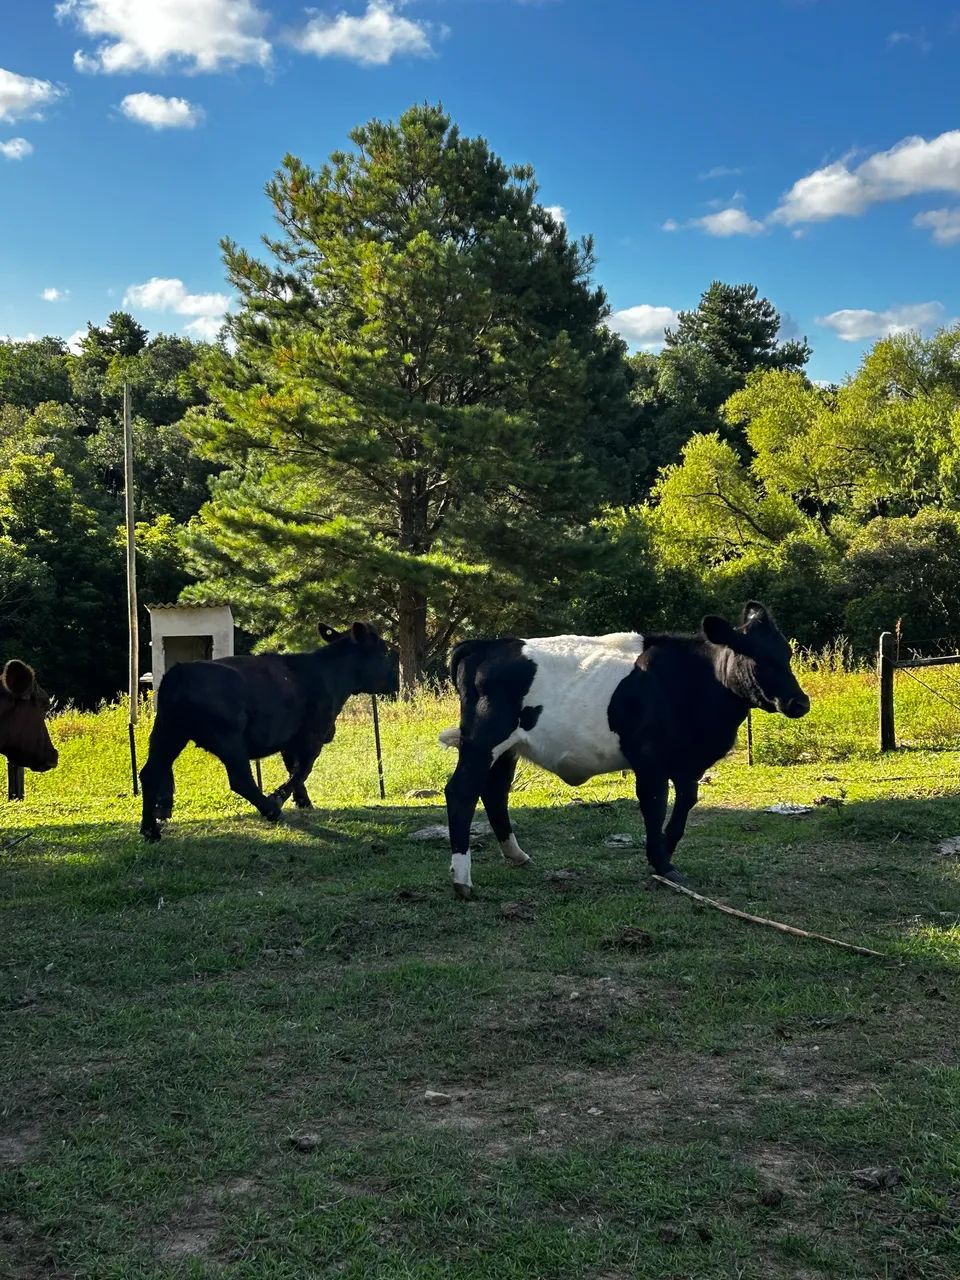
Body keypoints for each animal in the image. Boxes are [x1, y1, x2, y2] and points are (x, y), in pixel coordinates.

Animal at [139, 622, 399, 842]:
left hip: (169, 733)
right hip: (228, 739)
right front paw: (279, 797)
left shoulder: (290, 741)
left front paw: (303, 802)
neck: (331, 674)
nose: (396, 682)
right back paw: (270, 809)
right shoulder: (312, 735)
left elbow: (295, 771)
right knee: (241, 779)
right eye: (384, 653)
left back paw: (150, 830)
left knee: (149, 773)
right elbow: (303, 770)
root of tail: (178, 673)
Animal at [440, 603, 810, 898]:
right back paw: (463, 881)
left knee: (495, 792)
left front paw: (664, 851)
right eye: (757, 659)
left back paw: (517, 857)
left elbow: (684, 804)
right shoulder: (650, 760)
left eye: (787, 654)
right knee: (462, 791)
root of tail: (484, 645)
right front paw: (661, 862)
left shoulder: (687, 764)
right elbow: (655, 806)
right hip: (483, 740)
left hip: (508, 749)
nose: (799, 702)